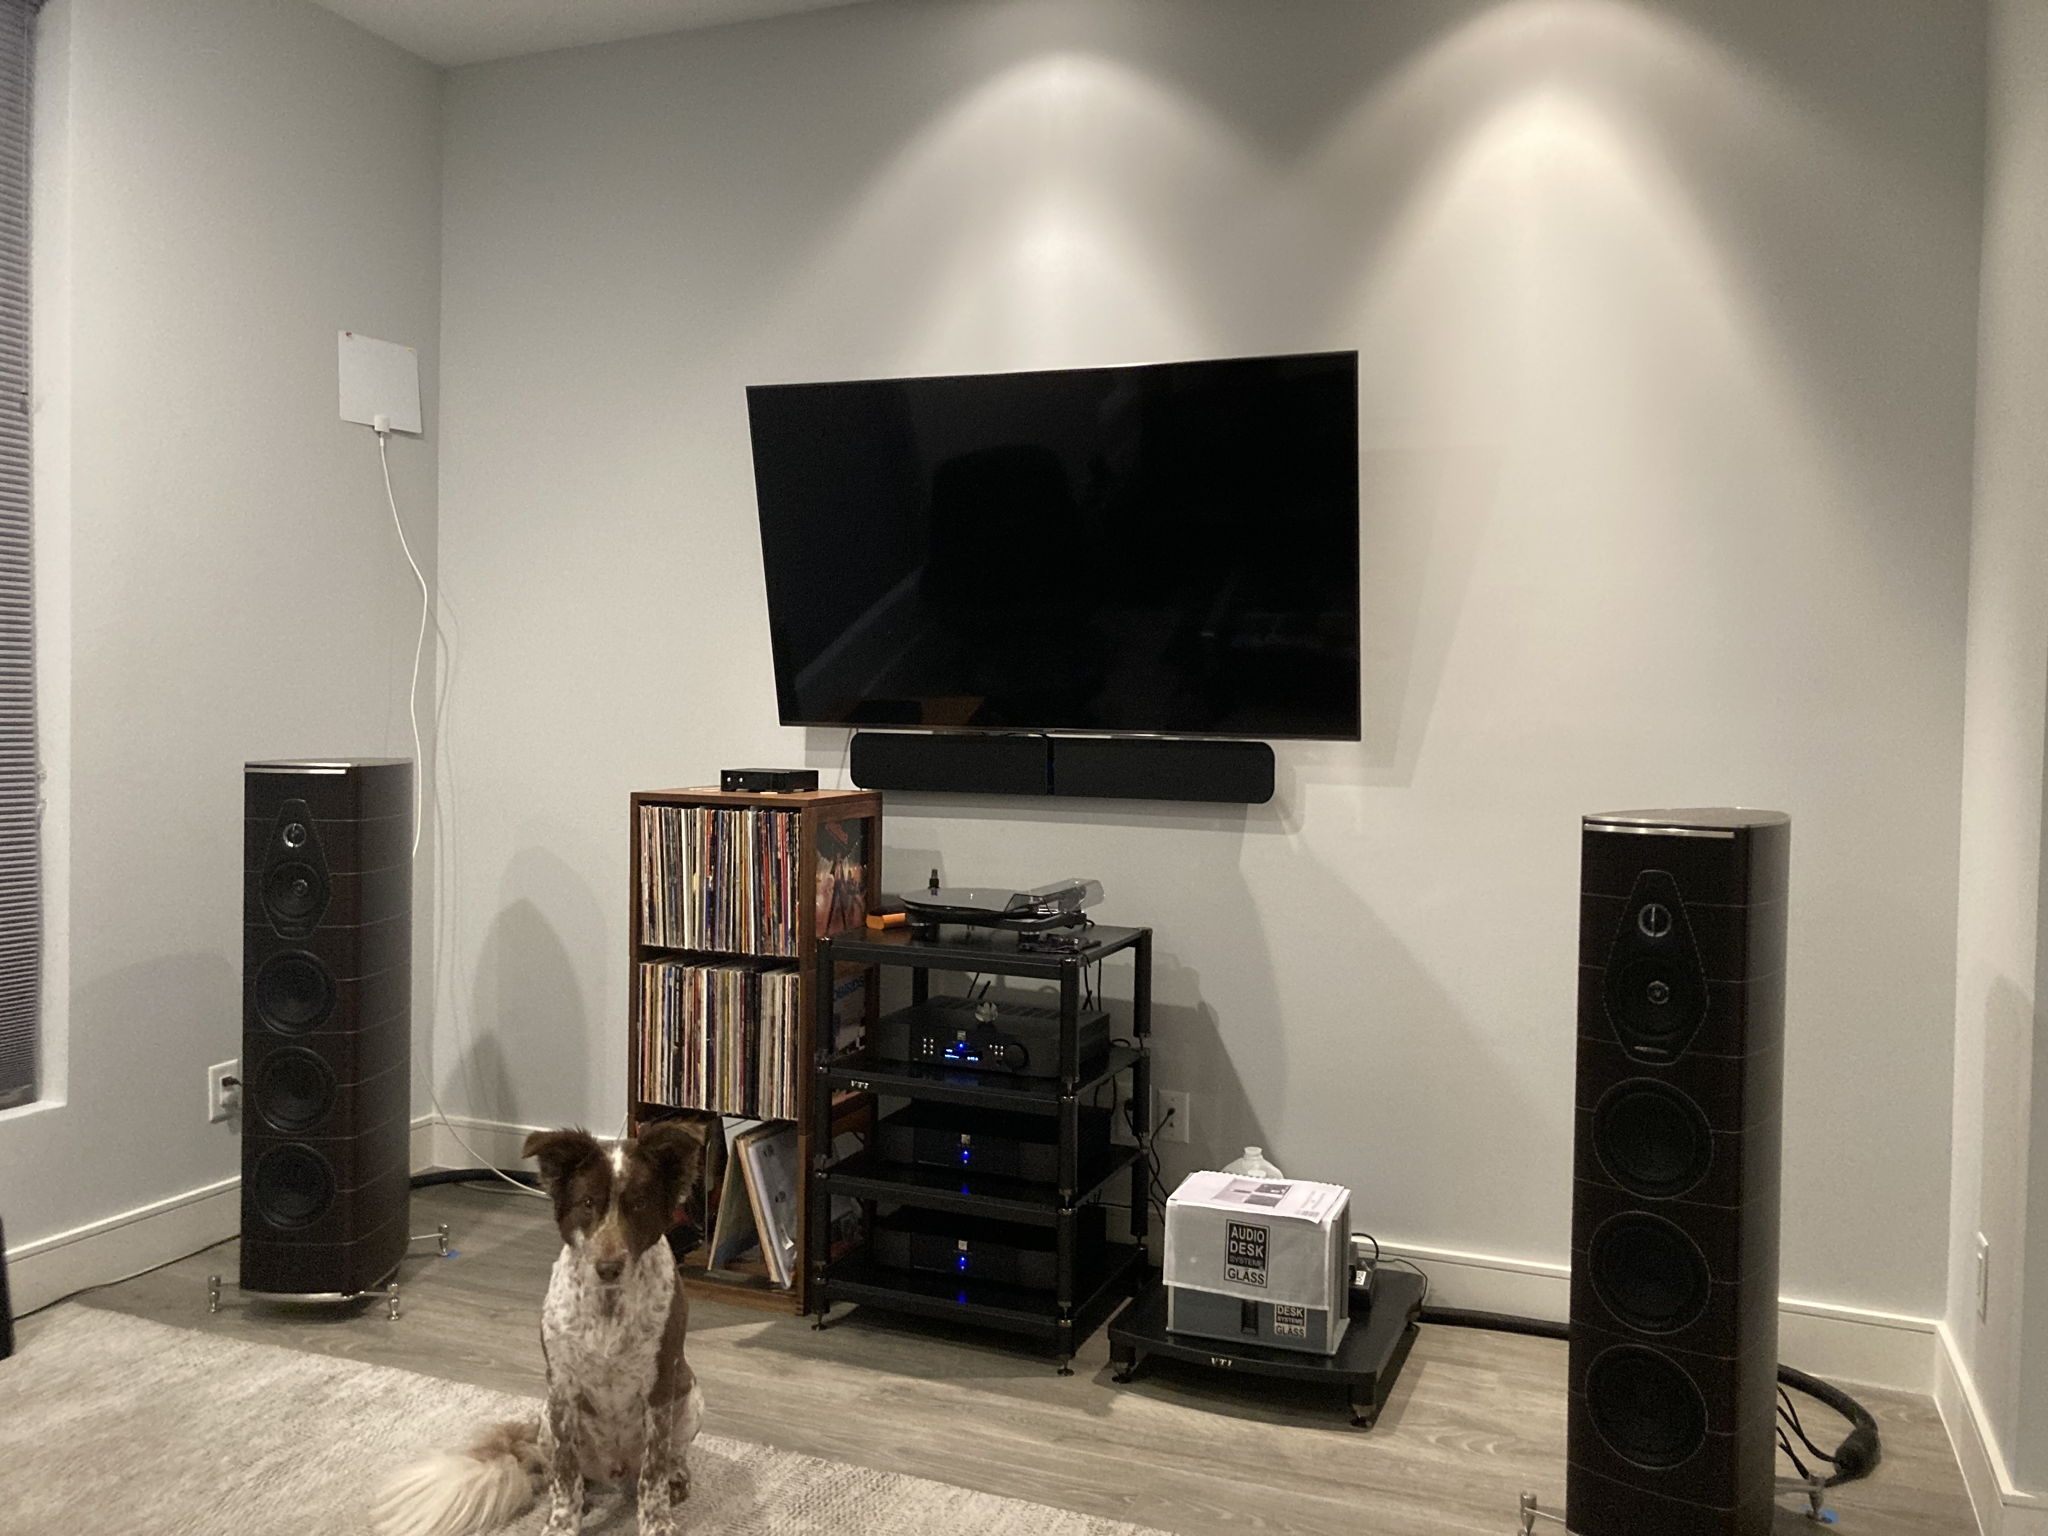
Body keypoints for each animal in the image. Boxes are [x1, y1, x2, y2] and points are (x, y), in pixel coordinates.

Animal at [372, 1122, 716, 1536]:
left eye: (638, 1205)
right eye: (588, 1203)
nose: (608, 1266)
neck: (608, 1307)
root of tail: (615, 1473)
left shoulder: (659, 1388)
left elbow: (654, 1472)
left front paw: (657, 1523)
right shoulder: (563, 1389)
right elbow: (566, 1474)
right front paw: (562, 1523)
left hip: (690, 1395)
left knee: (669, 1459)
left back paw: (675, 1479)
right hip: (548, 1418)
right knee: (565, 1473)